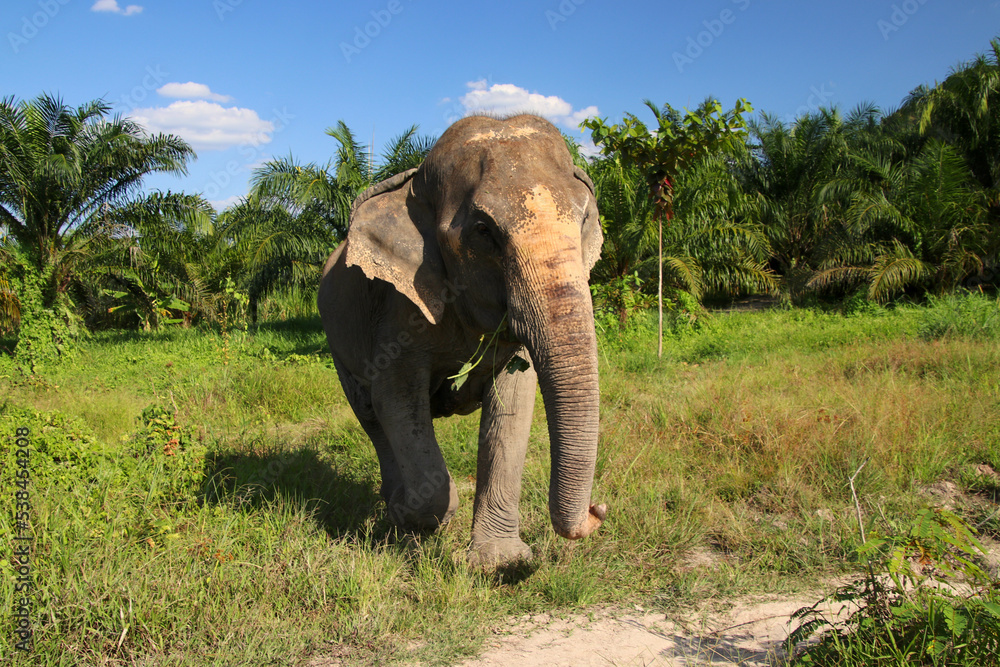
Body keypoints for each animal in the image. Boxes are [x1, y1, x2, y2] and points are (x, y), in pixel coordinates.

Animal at [318, 114, 607, 565]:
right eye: (484, 231)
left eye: (583, 221)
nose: (598, 510)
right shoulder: (397, 306)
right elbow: (395, 397)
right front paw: (422, 515)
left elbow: (513, 407)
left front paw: (502, 563)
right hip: (336, 342)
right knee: (370, 413)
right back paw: (395, 508)